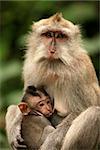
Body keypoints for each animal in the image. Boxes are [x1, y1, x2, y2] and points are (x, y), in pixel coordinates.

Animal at [5, 13, 99, 150]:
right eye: (48, 34)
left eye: (60, 36)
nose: (52, 48)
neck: (53, 66)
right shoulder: (31, 65)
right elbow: (22, 101)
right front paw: (15, 126)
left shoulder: (80, 71)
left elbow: (79, 110)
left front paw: (50, 142)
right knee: (11, 107)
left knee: (93, 113)